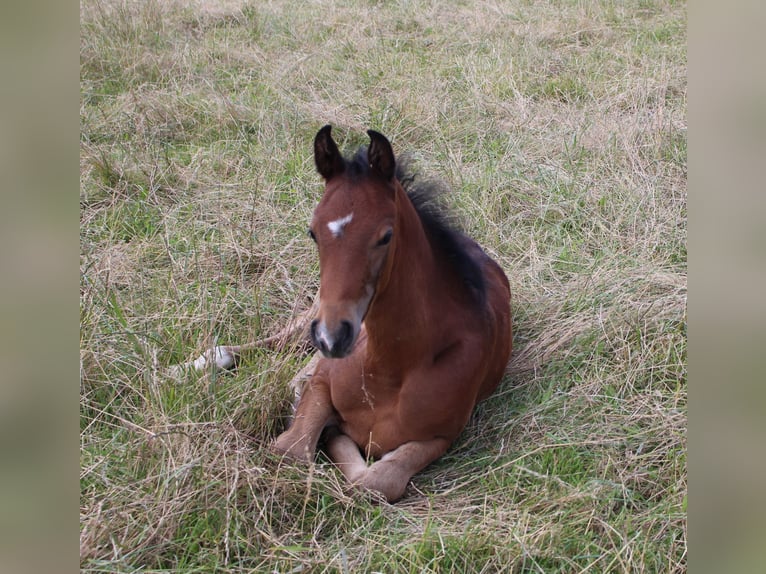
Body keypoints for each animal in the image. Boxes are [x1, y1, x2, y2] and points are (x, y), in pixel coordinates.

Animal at [272, 127, 512, 504]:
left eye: (385, 236)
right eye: (313, 232)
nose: (331, 337)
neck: (389, 367)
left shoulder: (443, 435)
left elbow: (377, 481)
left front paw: (336, 435)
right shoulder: (324, 380)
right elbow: (291, 449)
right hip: (311, 314)